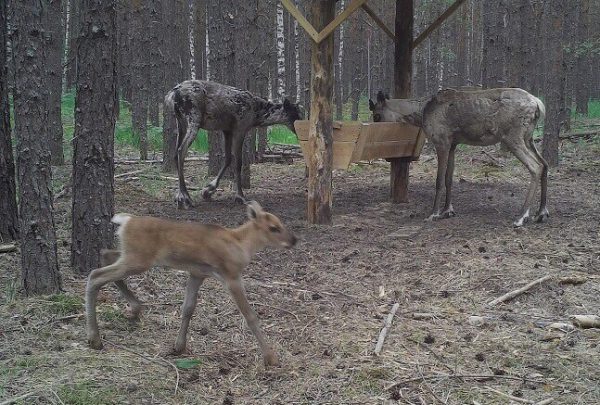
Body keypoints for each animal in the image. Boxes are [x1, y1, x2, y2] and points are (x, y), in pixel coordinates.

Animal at [85, 202, 296, 366]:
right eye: (273, 227)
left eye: (281, 223)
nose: (294, 240)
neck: (241, 244)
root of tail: (125, 221)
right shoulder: (231, 275)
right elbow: (249, 315)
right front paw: (270, 357)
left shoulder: (197, 273)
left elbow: (188, 308)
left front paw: (179, 346)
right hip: (138, 259)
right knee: (95, 275)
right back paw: (95, 339)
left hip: (132, 255)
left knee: (105, 254)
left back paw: (134, 309)